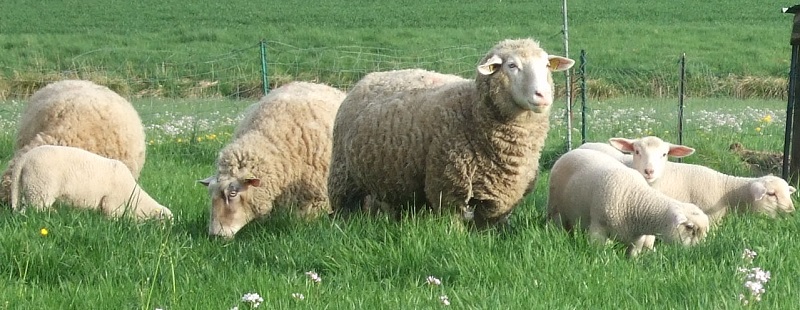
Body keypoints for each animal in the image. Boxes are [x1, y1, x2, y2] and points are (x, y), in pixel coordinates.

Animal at [326, 38, 576, 228]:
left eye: (547, 65)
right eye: (512, 66)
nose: (543, 95)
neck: (471, 112)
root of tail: (367, 78)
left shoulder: (500, 198)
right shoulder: (449, 187)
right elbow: (453, 225)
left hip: (396, 180)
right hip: (343, 177)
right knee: (345, 209)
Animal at [548, 149, 708, 258]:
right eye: (690, 227)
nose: (697, 251)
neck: (637, 200)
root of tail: (573, 150)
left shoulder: (636, 240)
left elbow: (632, 256)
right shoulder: (598, 228)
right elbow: (598, 251)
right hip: (555, 208)